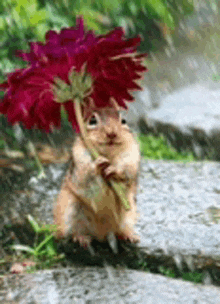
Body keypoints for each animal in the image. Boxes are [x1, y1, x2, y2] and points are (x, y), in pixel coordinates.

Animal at [54, 106, 140, 247]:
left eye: (124, 120)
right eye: (92, 120)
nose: (111, 133)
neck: (108, 155)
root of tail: (102, 235)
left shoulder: (131, 158)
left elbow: (126, 174)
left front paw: (114, 170)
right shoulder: (80, 160)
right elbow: (86, 175)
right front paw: (98, 163)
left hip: (129, 214)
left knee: (121, 230)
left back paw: (130, 236)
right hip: (69, 210)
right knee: (73, 231)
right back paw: (81, 238)